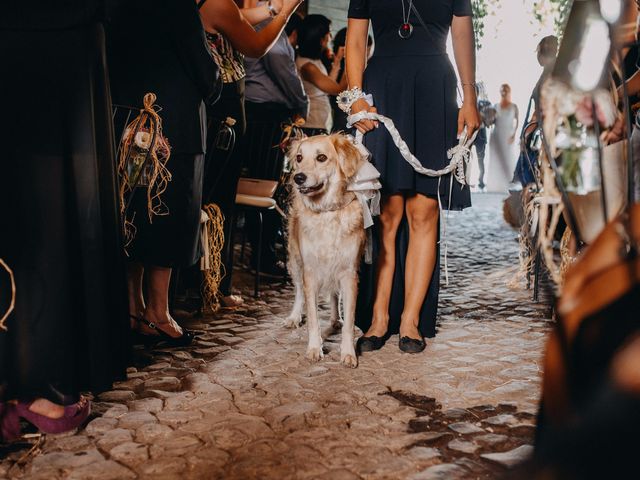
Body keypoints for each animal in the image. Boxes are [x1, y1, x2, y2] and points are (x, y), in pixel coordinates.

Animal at [284, 132, 368, 368]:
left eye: (321, 157)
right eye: (299, 158)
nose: (298, 178)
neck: (327, 212)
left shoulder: (349, 273)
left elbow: (349, 320)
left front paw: (348, 353)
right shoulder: (310, 272)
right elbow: (312, 317)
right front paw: (315, 348)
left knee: (333, 295)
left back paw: (334, 319)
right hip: (295, 261)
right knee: (299, 293)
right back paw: (294, 316)